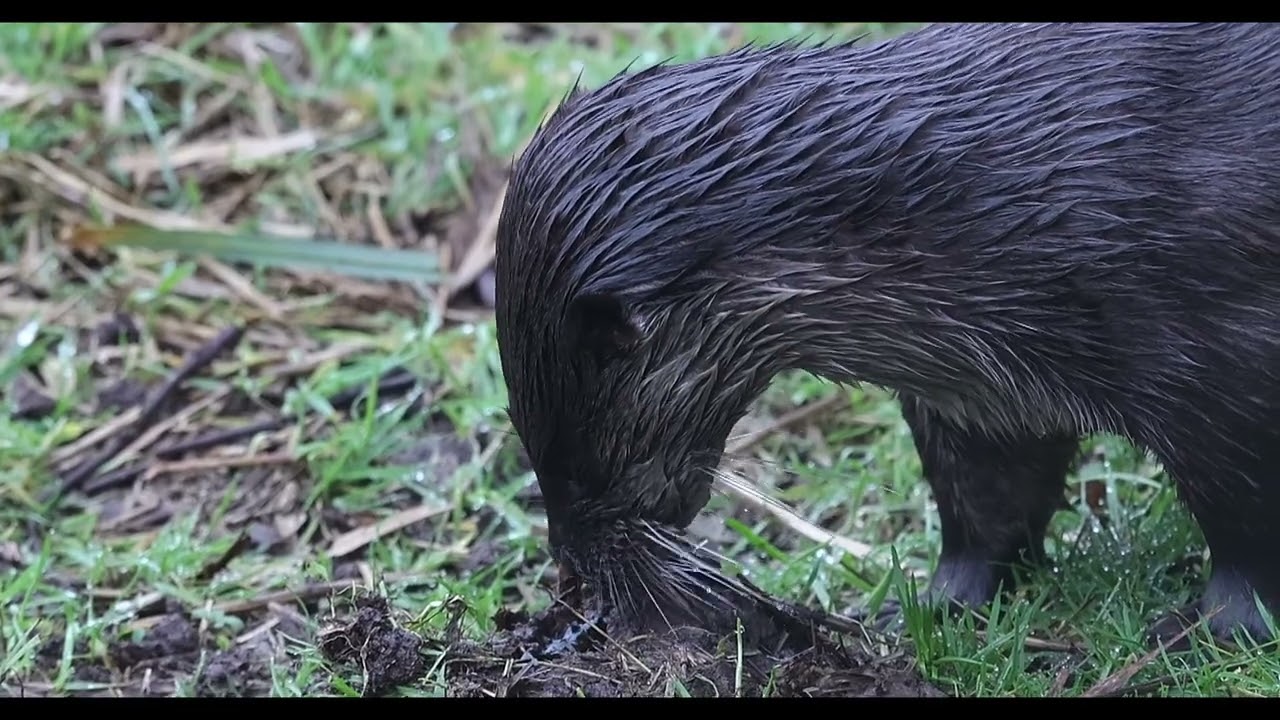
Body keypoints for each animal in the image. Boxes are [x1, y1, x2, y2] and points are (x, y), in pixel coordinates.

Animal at [493, 22, 1280, 649]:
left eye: (572, 465)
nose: (569, 563)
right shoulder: (978, 396)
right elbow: (986, 511)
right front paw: (930, 609)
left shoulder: (1229, 366)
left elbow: (1250, 532)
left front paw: (1217, 630)